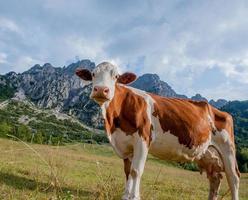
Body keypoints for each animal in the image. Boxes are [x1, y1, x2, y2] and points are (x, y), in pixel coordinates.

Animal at [75, 61, 240, 199]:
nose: (101, 90)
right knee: (215, 178)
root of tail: (217, 110)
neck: (113, 123)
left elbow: (136, 171)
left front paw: (134, 197)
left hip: (228, 148)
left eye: (116, 76)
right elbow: (128, 171)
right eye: (93, 74)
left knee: (233, 177)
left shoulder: (143, 139)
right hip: (208, 153)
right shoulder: (125, 143)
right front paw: (126, 196)